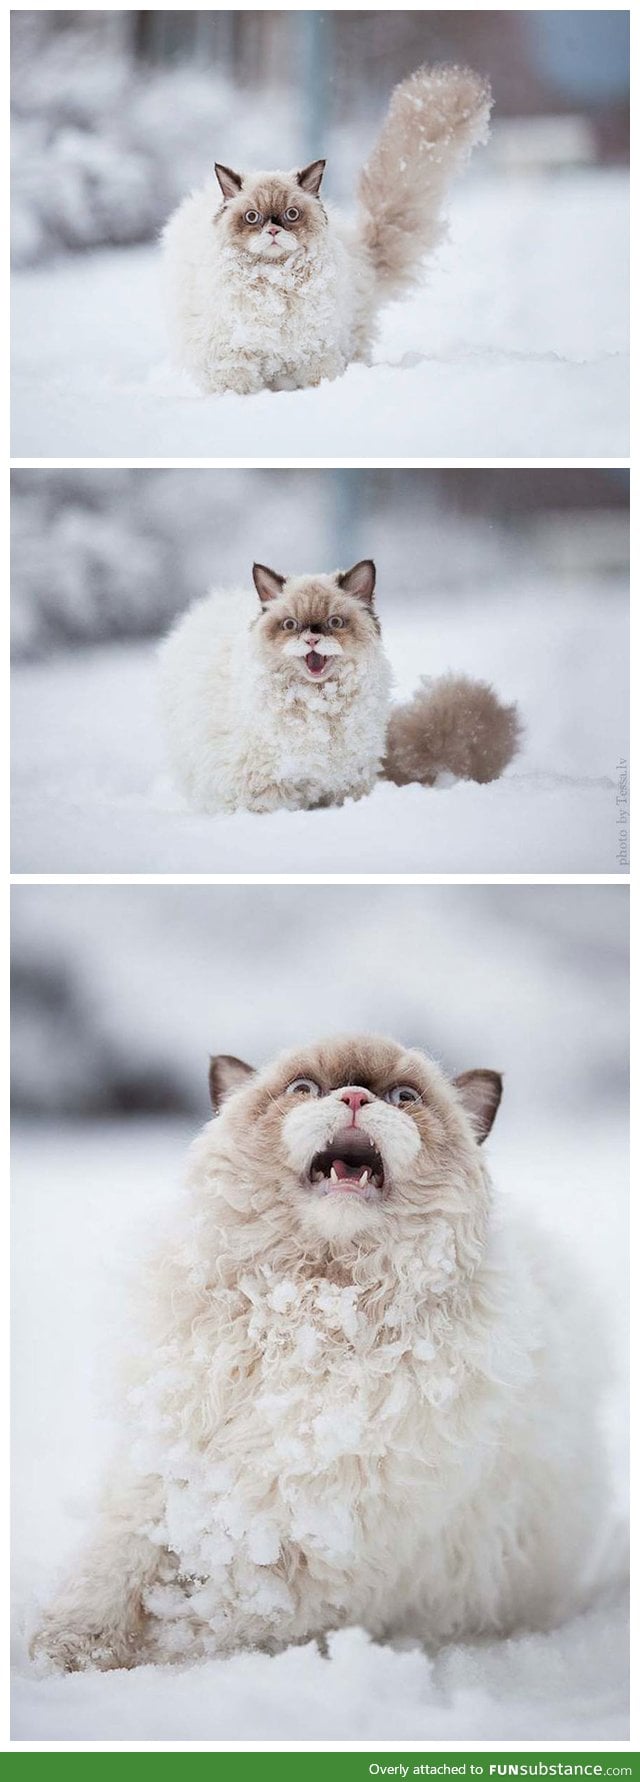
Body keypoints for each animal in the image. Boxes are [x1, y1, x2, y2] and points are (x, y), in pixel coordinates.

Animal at [31, 1033, 613, 1667]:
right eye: (305, 1089)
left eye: (404, 1098)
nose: (355, 1097)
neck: (316, 1310)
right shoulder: (167, 1474)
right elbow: (114, 1568)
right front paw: (73, 1652)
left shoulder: (324, 1535)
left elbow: (222, 1611)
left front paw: (157, 1654)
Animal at [156, 555, 520, 819]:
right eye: (290, 625)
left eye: (334, 622)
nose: (312, 637)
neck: (319, 705)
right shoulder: (264, 792)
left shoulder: (346, 783)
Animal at [163, 65, 495, 397]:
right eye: (252, 217)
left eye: (291, 214)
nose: (273, 230)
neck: (277, 281)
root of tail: (362, 254)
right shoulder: (232, 357)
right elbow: (239, 387)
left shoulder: (315, 352)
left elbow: (319, 380)